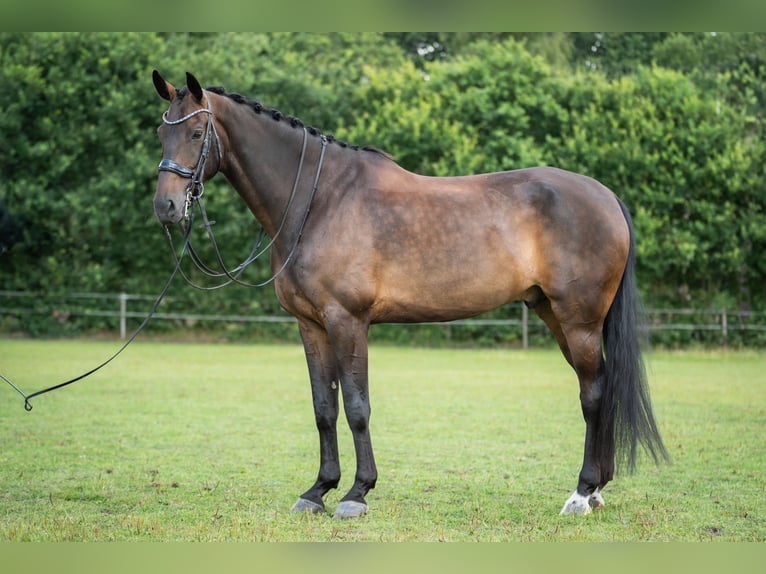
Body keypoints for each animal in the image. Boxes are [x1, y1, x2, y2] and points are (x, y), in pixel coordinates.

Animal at [152, 71, 668, 518]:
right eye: (160, 134)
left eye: (197, 133)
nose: (166, 207)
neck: (320, 200)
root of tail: (606, 196)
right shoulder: (311, 325)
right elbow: (324, 409)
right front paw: (318, 491)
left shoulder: (347, 320)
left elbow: (357, 408)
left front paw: (356, 494)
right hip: (554, 316)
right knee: (599, 386)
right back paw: (597, 489)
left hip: (579, 321)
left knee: (593, 394)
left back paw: (581, 493)